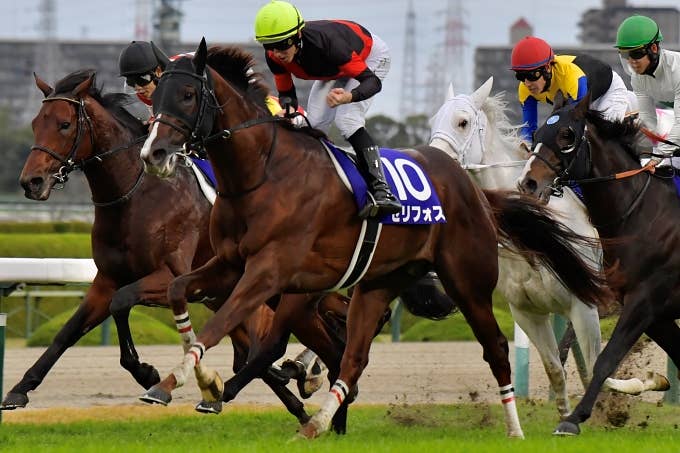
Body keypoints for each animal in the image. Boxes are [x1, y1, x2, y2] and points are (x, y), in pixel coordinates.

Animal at [6, 69, 356, 426]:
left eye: (64, 124)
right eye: (35, 122)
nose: (31, 182)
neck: (135, 195)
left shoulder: (169, 275)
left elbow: (122, 302)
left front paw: (146, 372)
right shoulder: (106, 279)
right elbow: (67, 332)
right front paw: (19, 390)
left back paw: (306, 377)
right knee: (261, 349)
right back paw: (294, 397)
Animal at [138, 39, 612, 438]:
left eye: (187, 95)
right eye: (156, 96)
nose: (153, 153)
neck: (262, 171)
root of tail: (472, 188)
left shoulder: (268, 271)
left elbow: (221, 322)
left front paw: (175, 383)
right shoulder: (229, 264)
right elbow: (180, 291)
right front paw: (203, 381)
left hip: (468, 282)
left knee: (494, 346)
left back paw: (515, 430)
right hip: (378, 282)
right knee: (353, 355)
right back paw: (319, 422)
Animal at [430, 75, 668, 416]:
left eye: (462, 122)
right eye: (434, 120)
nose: (432, 163)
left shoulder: (584, 305)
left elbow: (595, 365)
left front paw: (649, 381)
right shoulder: (527, 312)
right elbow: (558, 369)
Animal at [516, 92, 680, 434]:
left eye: (567, 135)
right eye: (537, 136)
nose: (528, 183)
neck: (641, 214)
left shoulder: (645, 300)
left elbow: (605, 358)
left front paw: (573, 419)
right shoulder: (654, 312)